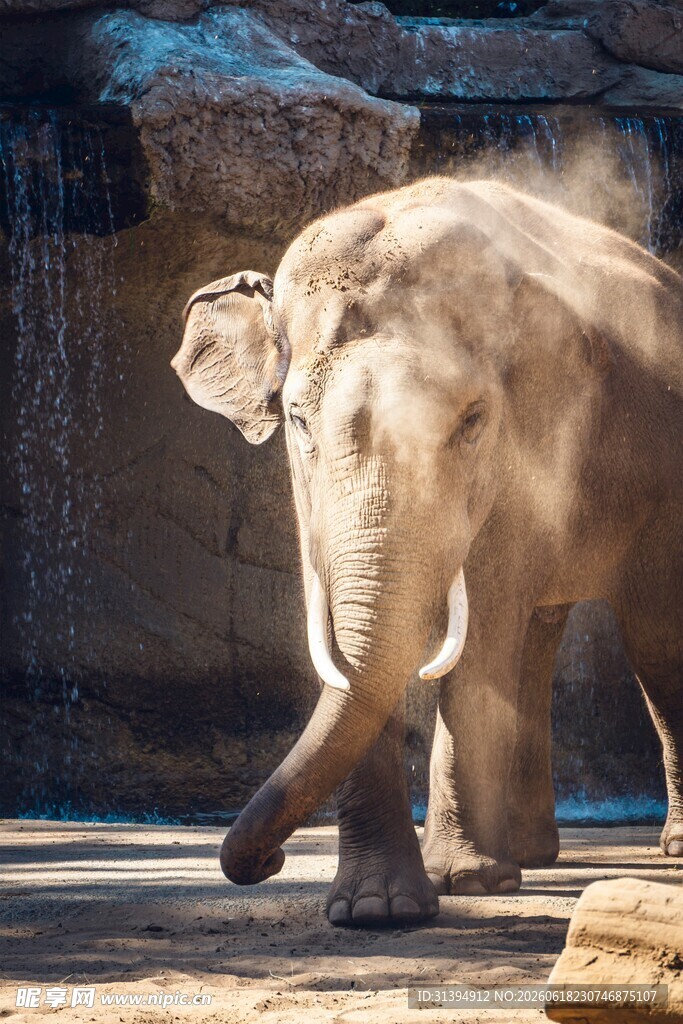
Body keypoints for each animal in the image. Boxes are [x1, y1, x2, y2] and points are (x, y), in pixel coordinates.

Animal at [171, 178, 683, 927]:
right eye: (297, 420)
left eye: (470, 423)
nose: (266, 862)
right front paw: (374, 910)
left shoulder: (522, 449)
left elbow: (482, 631)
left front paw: (463, 881)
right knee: (540, 634)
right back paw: (531, 856)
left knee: (652, 639)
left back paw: (659, 849)